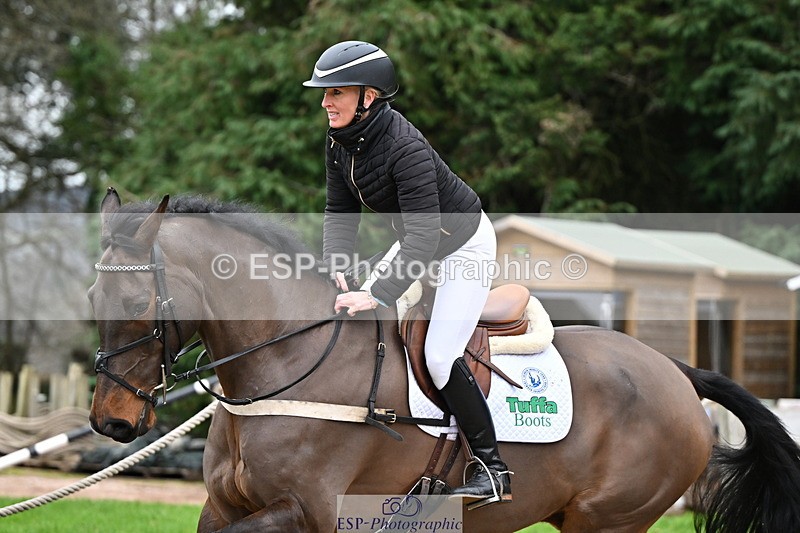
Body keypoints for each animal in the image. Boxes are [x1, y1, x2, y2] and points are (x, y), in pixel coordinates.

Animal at [88, 188, 800, 532]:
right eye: (93, 297)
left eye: (136, 301)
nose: (110, 423)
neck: (285, 365)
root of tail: (676, 371)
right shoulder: (225, 509)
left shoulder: (310, 512)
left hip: (609, 521)